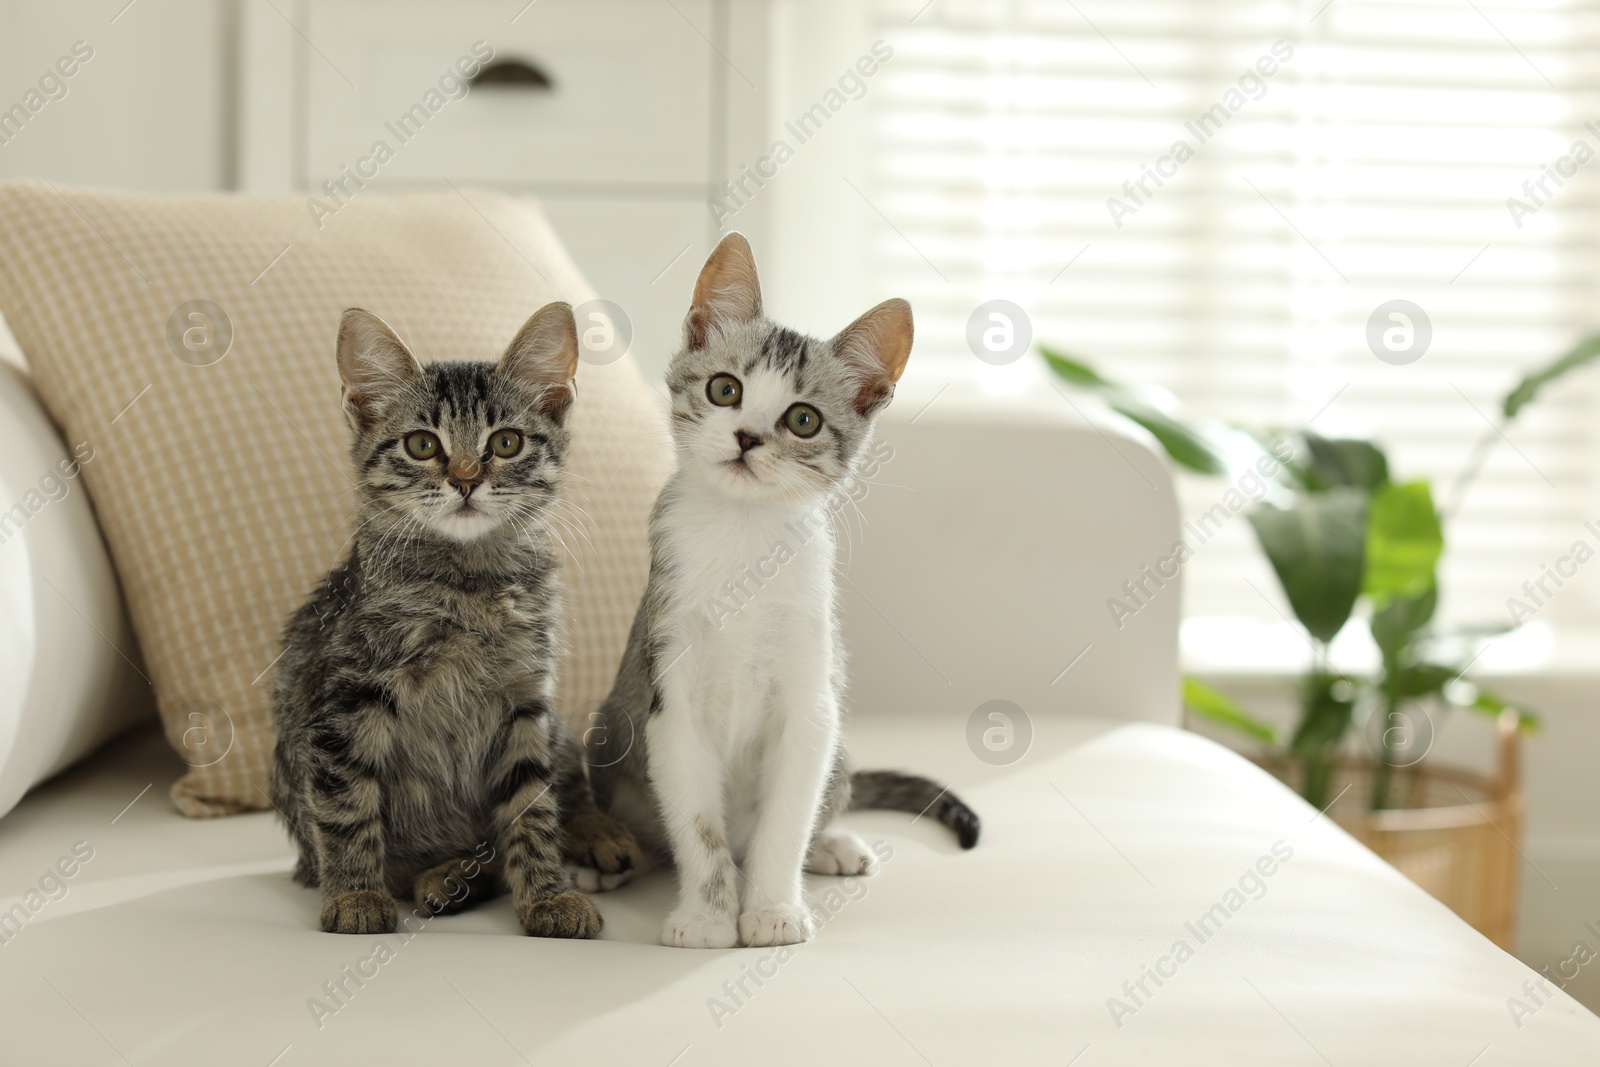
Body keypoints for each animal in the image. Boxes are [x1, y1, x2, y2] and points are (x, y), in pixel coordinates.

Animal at [273, 303, 636, 940]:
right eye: (421, 445)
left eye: (506, 442)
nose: (466, 479)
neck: (471, 582)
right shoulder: (344, 699)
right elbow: (346, 806)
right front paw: (356, 893)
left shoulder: (525, 699)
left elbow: (533, 805)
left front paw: (548, 895)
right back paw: (445, 878)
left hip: (555, 727)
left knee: (565, 784)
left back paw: (595, 832)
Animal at [592, 235, 972, 953]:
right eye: (725, 388)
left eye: (803, 419)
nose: (748, 438)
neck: (744, 538)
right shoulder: (670, 695)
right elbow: (700, 828)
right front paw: (708, 917)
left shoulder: (810, 698)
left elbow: (786, 820)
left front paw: (770, 909)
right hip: (607, 730)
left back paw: (832, 844)